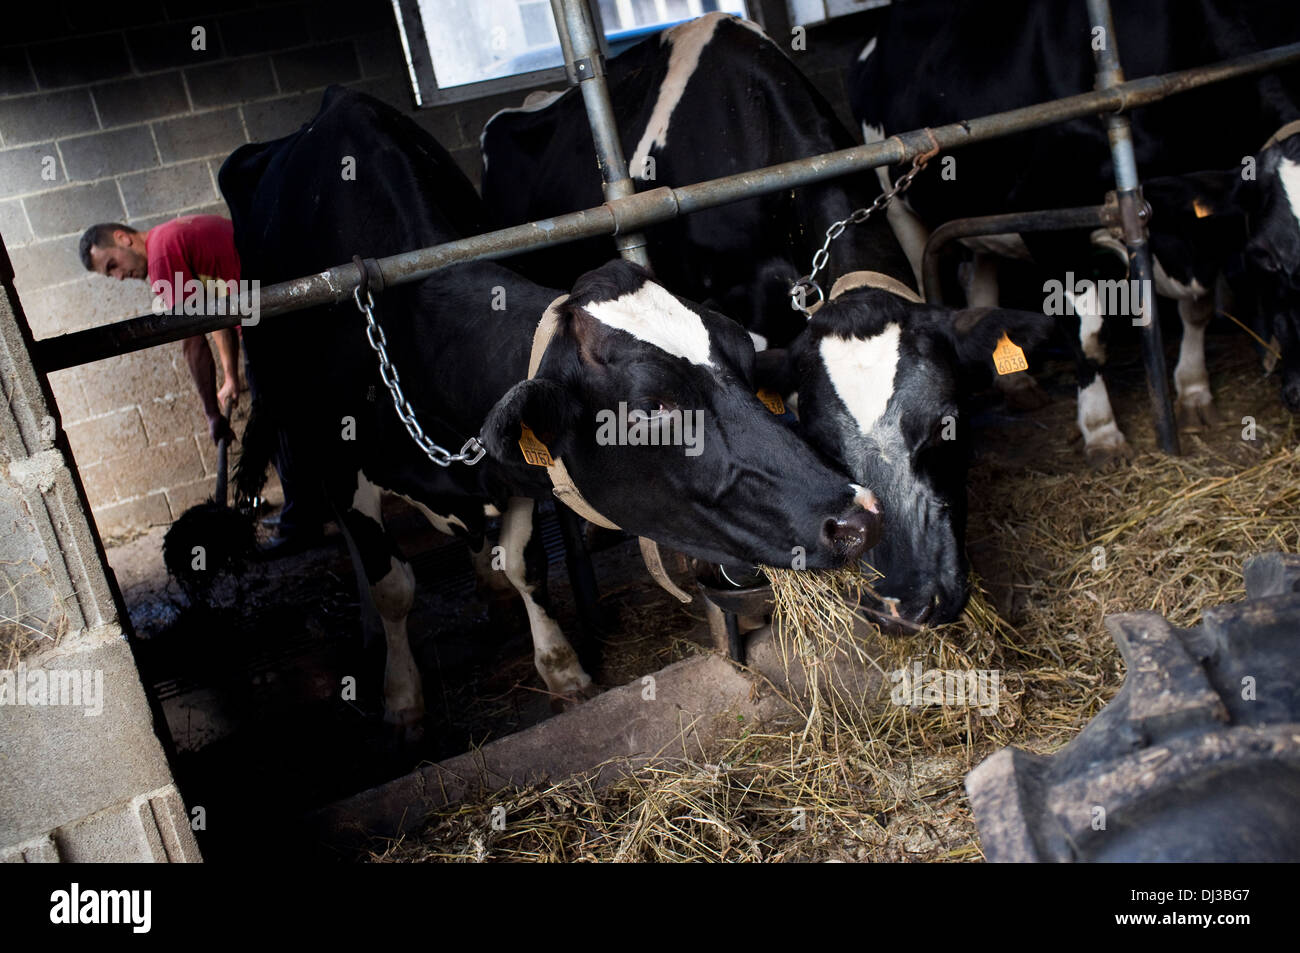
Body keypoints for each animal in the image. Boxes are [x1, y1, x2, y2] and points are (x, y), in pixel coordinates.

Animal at [215, 85, 883, 733]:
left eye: (744, 365)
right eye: (652, 406)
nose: (858, 517)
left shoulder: (508, 470)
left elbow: (525, 565)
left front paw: (561, 668)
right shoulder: (339, 463)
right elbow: (393, 588)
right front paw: (402, 700)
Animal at [852, 0, 1300, 462]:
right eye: (1266, 257)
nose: (1298, 395)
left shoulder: (1197, 225)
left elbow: (1198, 306)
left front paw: (1194, 392)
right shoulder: (1049, 226)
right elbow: (1088, 336)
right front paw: (1102, 431)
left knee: (981, 280)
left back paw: (1017, 384)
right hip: (896, 201)